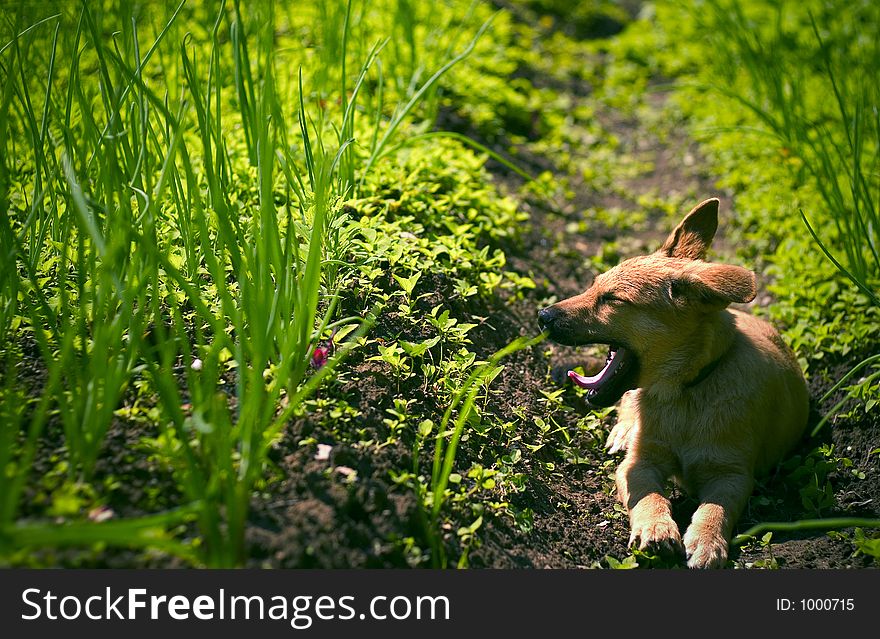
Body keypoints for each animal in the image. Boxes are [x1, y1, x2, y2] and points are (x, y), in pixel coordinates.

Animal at [532, 200, 808, 568]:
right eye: (593, 286)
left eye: (614, 300)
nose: (542, 316)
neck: (684, 392)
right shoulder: (639, 465)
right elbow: (649, 496)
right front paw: (657, 528)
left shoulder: (732, 474)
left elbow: (715, 508)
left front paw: (706, 541)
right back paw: (624, 431)